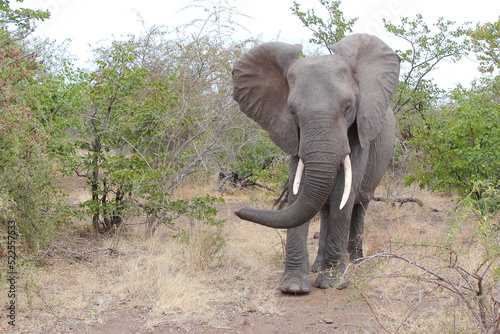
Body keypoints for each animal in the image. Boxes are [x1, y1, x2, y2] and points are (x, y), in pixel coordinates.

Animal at [231, 34, 402, 294]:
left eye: (348, 107)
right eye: (292, 111)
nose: (237, 211)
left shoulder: (359, 130)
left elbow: (344, 192)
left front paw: (333, 283)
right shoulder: (292, 134)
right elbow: (298, 191)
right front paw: (293, 286)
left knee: (360, 205)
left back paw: (356, 263)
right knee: (325, 208)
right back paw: (318, 267)